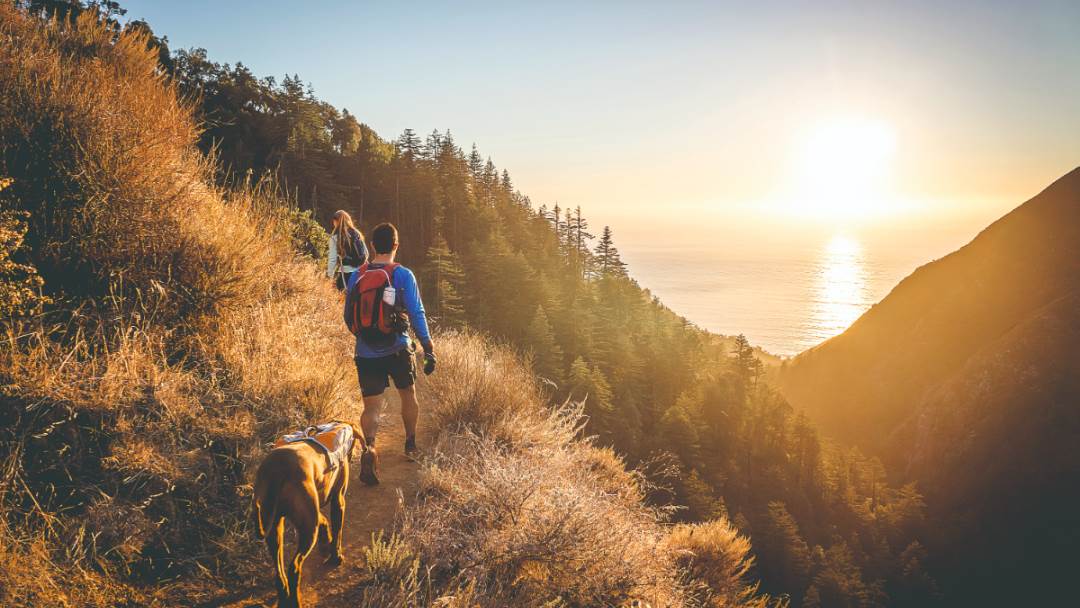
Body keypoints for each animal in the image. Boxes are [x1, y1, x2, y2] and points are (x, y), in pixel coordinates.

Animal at [251, 423, 378, 608]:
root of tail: (277, 468)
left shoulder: (313, 509)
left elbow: (324, 520)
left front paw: (325, 544)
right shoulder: (338, 500)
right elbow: (337, 531)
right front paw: (335, 557)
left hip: (276, 527)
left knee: (279, 571)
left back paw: (284, 595)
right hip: (308, 530)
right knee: (294, 567)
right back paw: (295, 601)